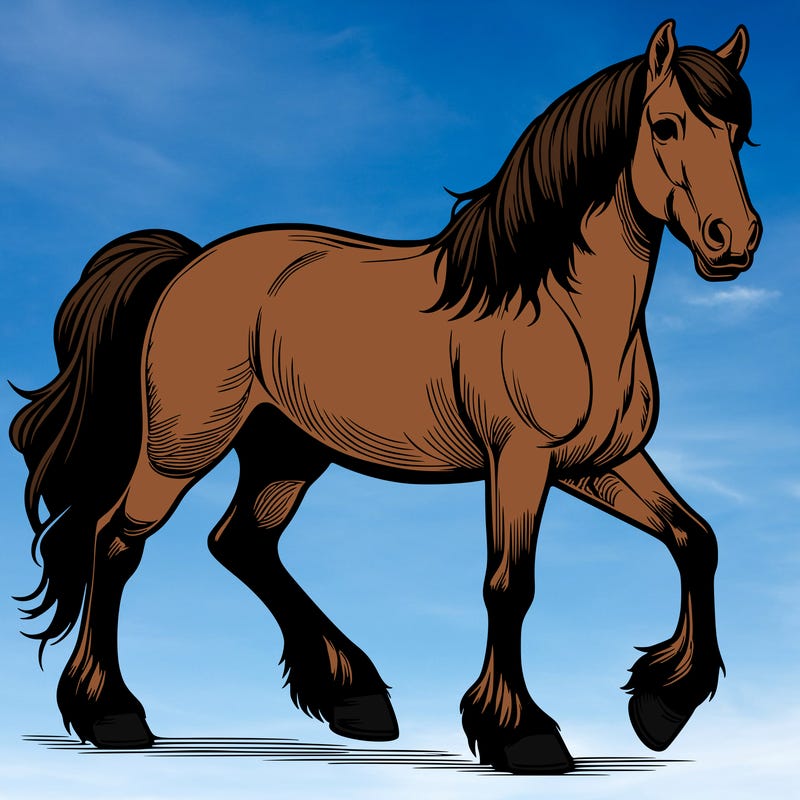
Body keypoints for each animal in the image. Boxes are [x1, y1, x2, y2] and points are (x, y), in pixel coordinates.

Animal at [10, 20, 760, 773]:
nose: (735, 240)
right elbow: (509, 585)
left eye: (738, 133)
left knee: (242, 542)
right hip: (183, 447)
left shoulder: (598, 463)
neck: (558, 307)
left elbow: (696, 539)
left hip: (287, 451)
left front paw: (661, 706)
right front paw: (523, 734)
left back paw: (355, 698)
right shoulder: (520, 460)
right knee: (115, 541)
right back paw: (112, 715)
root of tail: (188, 264)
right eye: (665, 126)